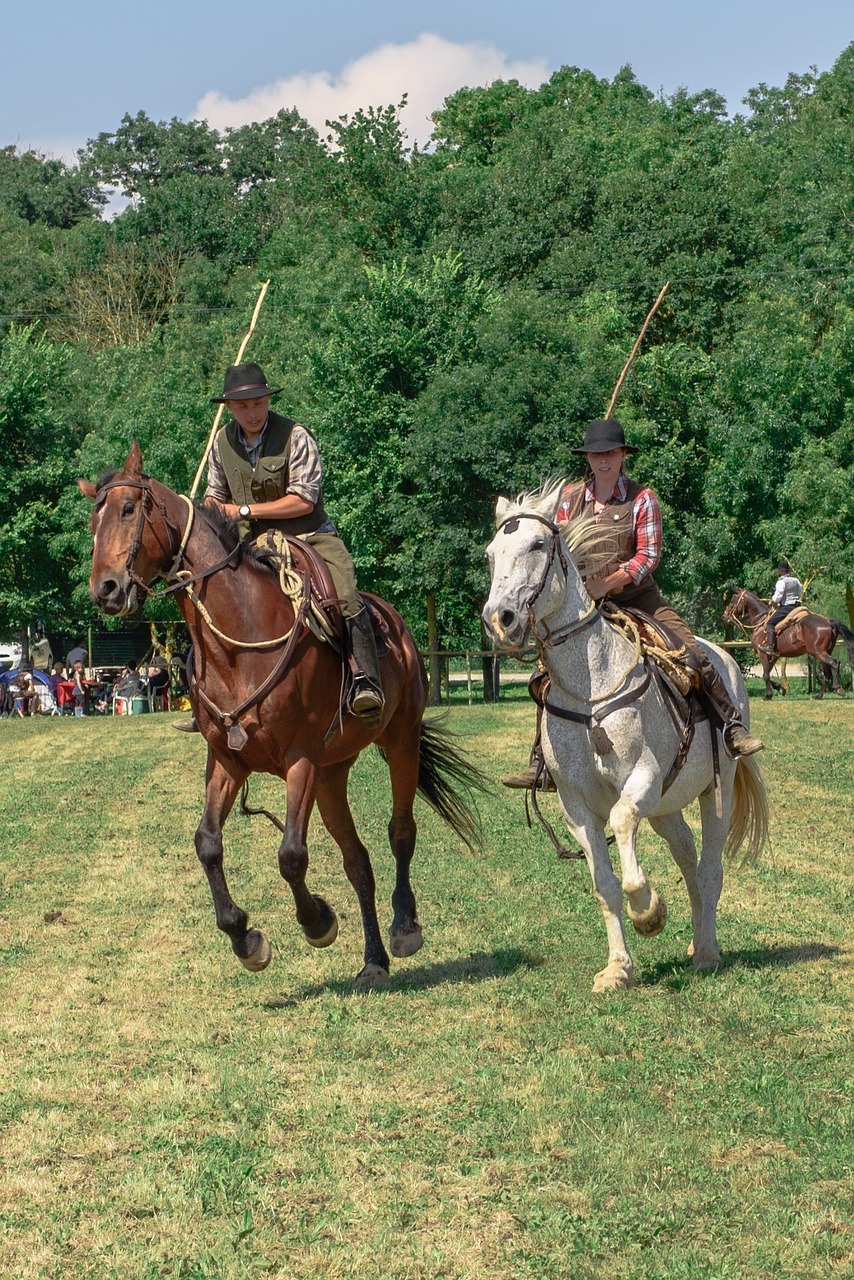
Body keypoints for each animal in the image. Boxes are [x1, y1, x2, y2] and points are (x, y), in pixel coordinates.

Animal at [83, 445, 491, 983]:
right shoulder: (228, 761)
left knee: (401, 832)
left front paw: (317, 921)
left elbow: (292, 855)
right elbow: (207, 843)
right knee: (357, 861)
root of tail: (398, 627)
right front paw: (244, 937)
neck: (239, 643)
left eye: (129, 509)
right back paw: (373, 960)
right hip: (332, 775)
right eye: (94, 519)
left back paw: (404, 928)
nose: (105, 589)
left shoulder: (300, 759)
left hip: (398, 742)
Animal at [483, 481, 773, 988]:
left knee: (710, 870)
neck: (590, 689)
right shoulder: (576, 806)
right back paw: (697, 940)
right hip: (666, 808)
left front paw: (649, 912)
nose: (499, 620)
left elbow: (621, 826)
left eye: (537, 545)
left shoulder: (642, 779)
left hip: (715, 794)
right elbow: (605, 884)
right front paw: (618, 968)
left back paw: (707, 951)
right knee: (689, 862)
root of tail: (726, 658)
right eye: (490, 555)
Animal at [722, 586, 854, 701]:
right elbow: (767, 673)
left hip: (818, 652)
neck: (761, 622)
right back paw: (818, 696)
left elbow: (765, 675)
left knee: (835, 664)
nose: (724, 616)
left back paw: (838, 688)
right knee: (827, 674)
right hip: (824, 652)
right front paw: (780, 688)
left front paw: (768, 695)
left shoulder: (762, 653)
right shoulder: (774, 655)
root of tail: (829, 622)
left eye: (733, 599)